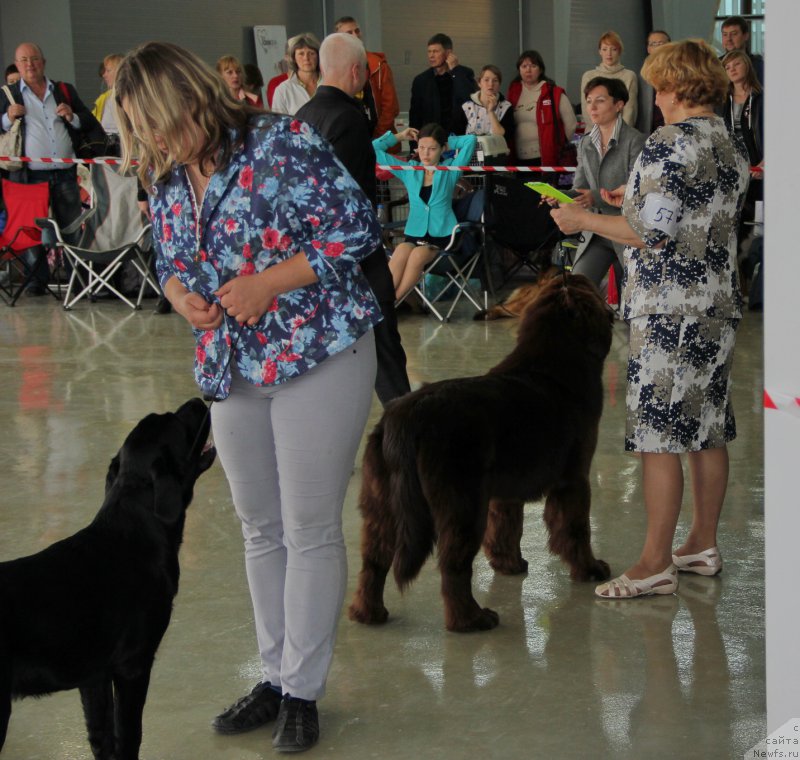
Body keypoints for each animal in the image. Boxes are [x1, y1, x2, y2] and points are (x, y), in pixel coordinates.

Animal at [0, 398, 216, 760]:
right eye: (176, 420)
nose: (199, 400)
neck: (136, 533)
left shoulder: (93, 675)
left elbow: (102, 736)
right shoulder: (133, 664)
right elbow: (129, 734)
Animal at [348, 276, 612, 632]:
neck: (552, 362)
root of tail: (406, 417)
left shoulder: (505, 491)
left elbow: (505, 527)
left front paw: (509, 565)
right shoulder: (573, 479)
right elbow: (575, 528)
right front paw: (590, 569)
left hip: (383, 503)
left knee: (373, 560)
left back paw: (368, 613)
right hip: (462, 503)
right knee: (453, 565)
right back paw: (471, 619)